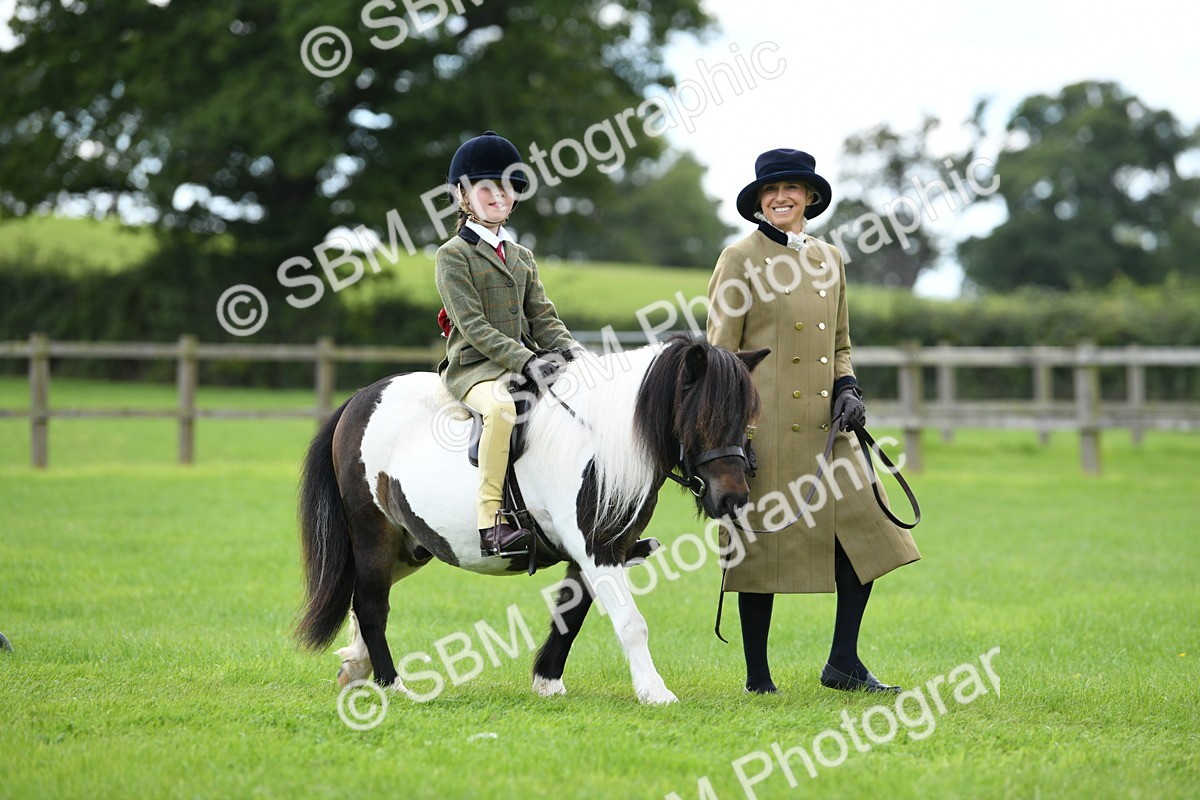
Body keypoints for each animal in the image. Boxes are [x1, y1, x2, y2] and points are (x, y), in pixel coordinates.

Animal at [294, 334, 768, 704]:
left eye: (747, 421)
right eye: (702, 418)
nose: (733, 498)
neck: (601, 437)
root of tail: (359, 400)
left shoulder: (598, 551)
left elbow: (571, 615)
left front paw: (547, 681)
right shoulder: (596, 548)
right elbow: (631, 623)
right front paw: (655, 692)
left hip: (410, 546)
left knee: (363, 597)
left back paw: (356, 666)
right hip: (372, 534)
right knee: (372, 605)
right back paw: (392, 685)